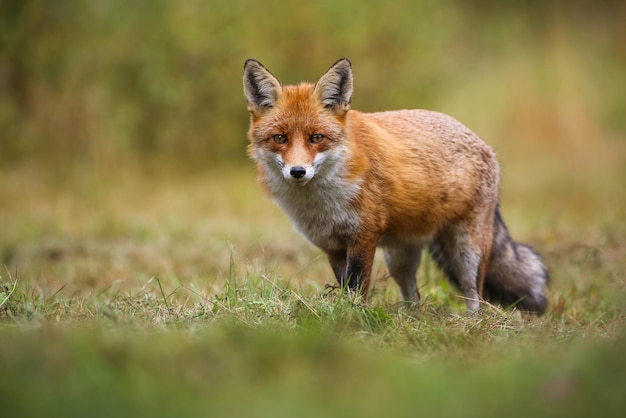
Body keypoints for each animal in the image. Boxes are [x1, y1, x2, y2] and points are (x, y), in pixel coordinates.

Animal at [241, 58, 544, 314]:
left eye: (316, 138)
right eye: (280, 138)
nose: (298, 171)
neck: (323, 202)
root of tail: (482, 142)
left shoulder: (364, 235)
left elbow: (356, 286)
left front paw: (354, 316)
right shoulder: (332, 245)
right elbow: (344, 284)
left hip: (468, 250)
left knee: (475, 294)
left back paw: (473, 324)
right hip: (399, 257)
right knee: (413, 296)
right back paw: (412, 320)